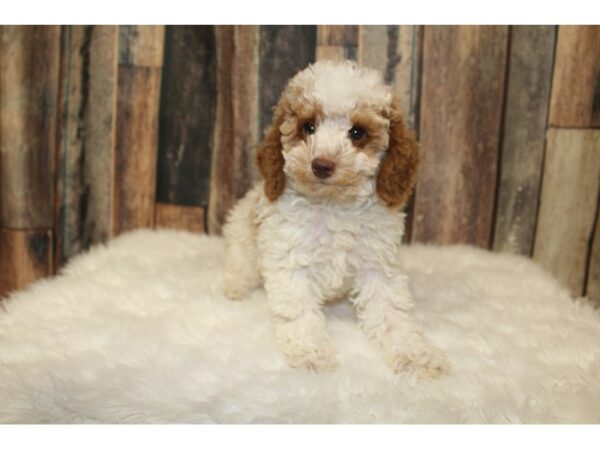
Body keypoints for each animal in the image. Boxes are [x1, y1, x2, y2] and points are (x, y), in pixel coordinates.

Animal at [223, 59, 448, 376]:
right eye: (308, 127)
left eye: (357, 133)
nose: (321, 165)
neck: (333, 206)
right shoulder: (291, 261)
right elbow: (301, 313)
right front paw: (311, 354)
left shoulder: (377, 265)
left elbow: (392, 313)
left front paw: (414, 357)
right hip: (242, 236)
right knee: (239, 264)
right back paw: (233, 288)